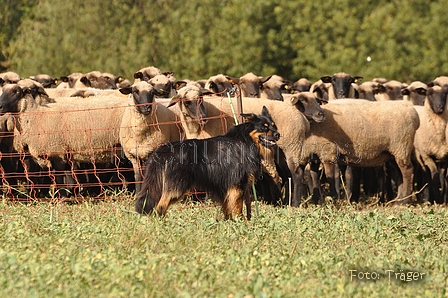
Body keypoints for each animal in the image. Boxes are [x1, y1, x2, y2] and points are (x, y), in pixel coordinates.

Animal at [135, 106, 280, 220]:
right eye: (264, 128)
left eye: (273, 126)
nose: (278, 135)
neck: (247, 140)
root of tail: (164, 150)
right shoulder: (237, 183)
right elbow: (238, 207)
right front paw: (242, 222)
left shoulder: (225, 187)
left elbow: (228, 208)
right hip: (177, 186)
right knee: (160, 206)